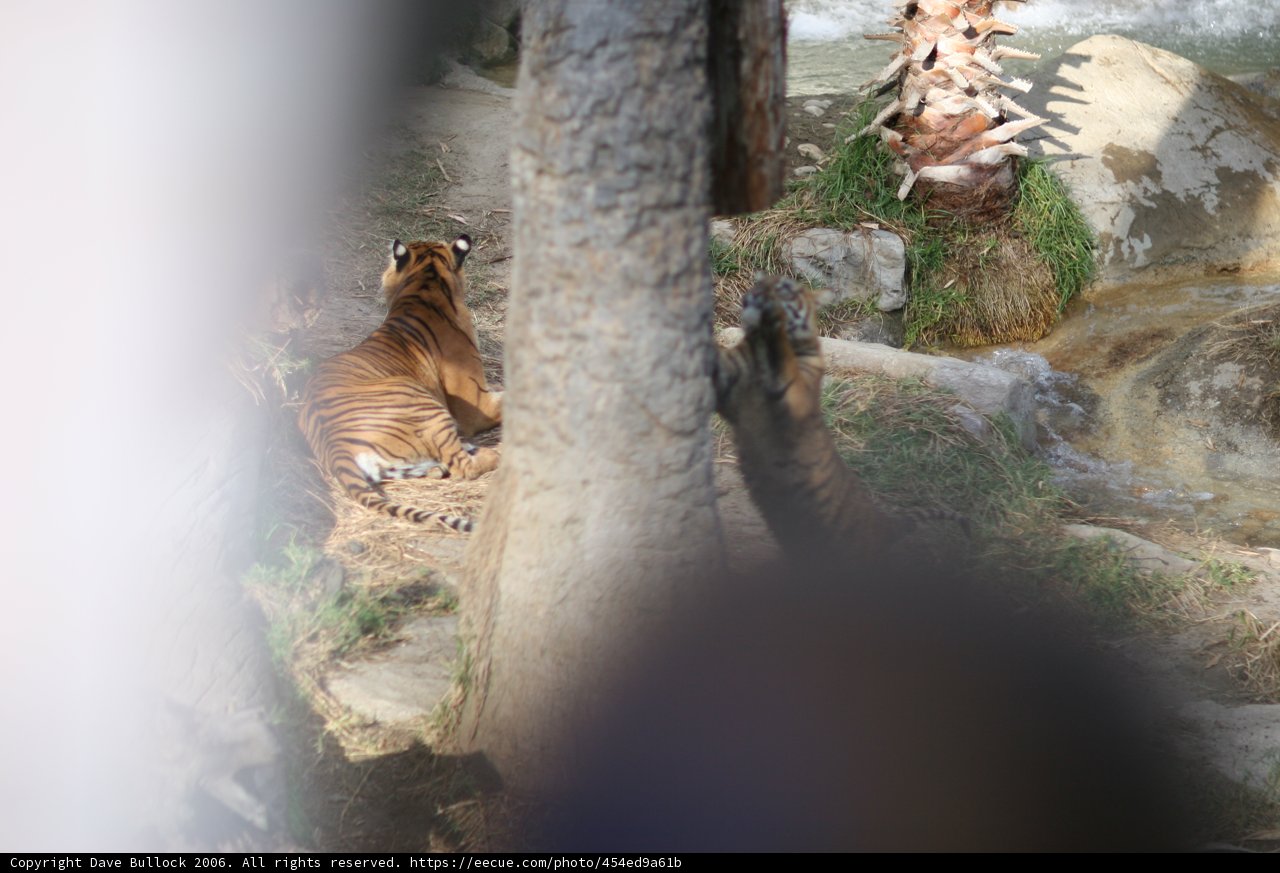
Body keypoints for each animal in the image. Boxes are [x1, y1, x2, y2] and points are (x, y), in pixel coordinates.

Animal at [298, 234, 502, 532]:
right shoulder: (477, 405)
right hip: (423, 403)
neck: (424, 285)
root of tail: (334, 447)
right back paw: (494, 455)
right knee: (463, 465)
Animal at [713, 274, 968, 563]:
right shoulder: (730, 382)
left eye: (786, 289)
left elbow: (782, 356)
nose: (752, 298)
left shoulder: (798, 392)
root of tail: (883, 522)